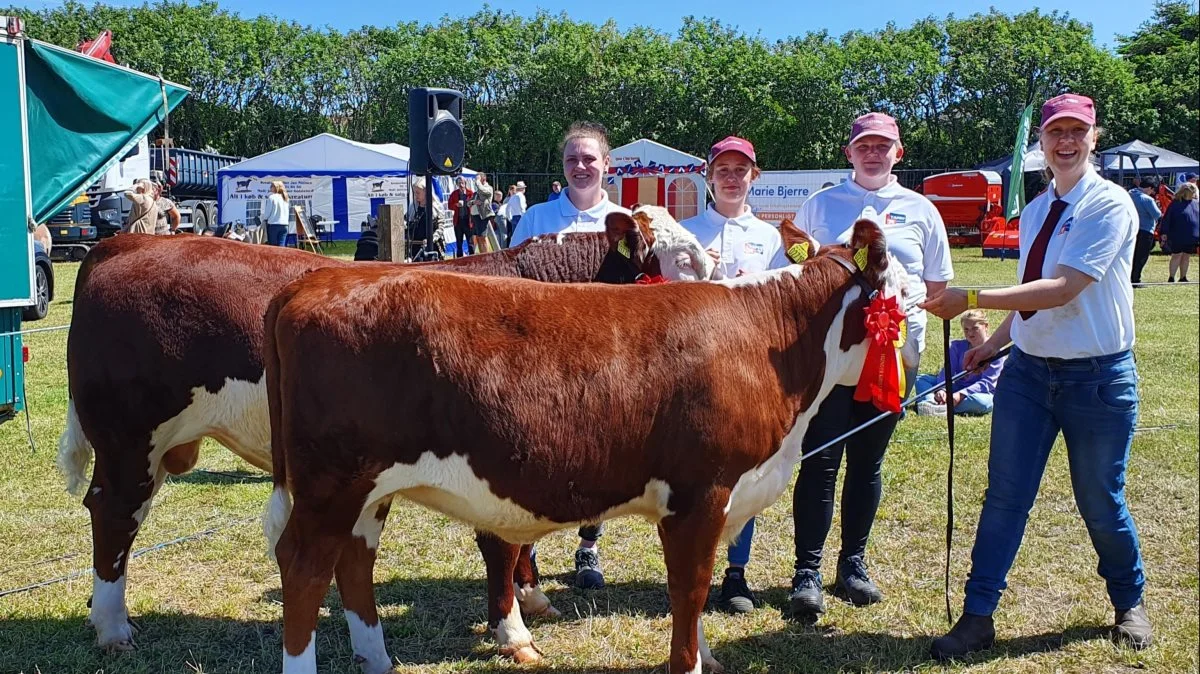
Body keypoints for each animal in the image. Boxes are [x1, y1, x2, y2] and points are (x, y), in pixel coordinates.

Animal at [56, 209, 710, 652]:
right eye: (682, 263)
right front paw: (512, 629)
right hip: (129, 435)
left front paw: (532, 595)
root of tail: (123, 241)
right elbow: (500, 543)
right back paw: (113, 626)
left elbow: (521, 539)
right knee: (114, 511)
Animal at [262, 218, 902, 666]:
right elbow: (688, 591)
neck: (765, 339)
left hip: (367, 489)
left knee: (354, 561)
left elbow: (695, 599)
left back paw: (378, 659)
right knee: (304, 566)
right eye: (900, 291)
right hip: (332, 484)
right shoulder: (699, 497)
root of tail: (319, 278)